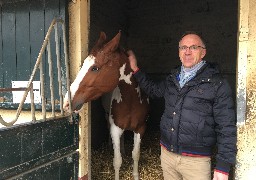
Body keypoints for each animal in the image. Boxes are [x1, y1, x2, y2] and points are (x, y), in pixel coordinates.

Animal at [62, 31, 149, 179]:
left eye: (95, 68)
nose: (67, 102)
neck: (131, 101)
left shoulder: (140, 128)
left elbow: (135, 155)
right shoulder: (115, 129)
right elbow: (117, 161)